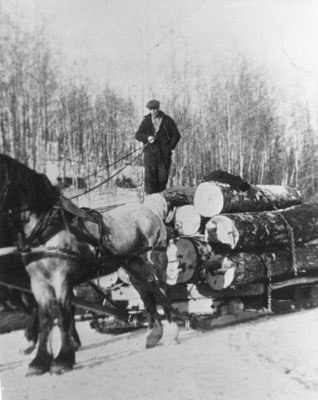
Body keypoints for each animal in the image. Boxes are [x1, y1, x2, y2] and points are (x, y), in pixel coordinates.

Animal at [0, 153, 175, 376]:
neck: (48, 227)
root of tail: (150, 210)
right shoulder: (39, 283)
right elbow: (45, 317)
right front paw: (39, 361)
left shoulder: (62, 280)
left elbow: (64, 315)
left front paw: (63, 359)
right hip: (133, 266)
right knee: (147, 295)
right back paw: (154, 334)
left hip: (156, 258)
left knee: (162, 290)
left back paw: (173, 327)